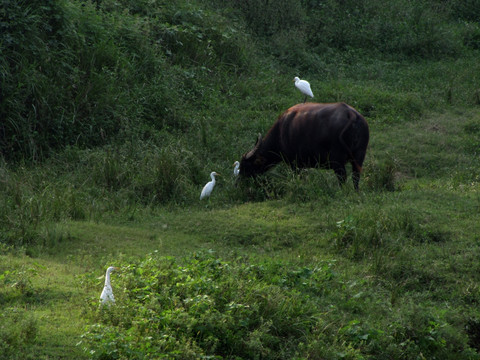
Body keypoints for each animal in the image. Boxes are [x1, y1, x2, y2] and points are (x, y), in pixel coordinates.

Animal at [238, 102, 370, 190]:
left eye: (246, 166)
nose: (238, 182)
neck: (281, 130)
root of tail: (351, 113)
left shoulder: (295, 164)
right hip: (359, 155)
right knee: (356, 175)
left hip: (337, 159)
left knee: (342, 177)